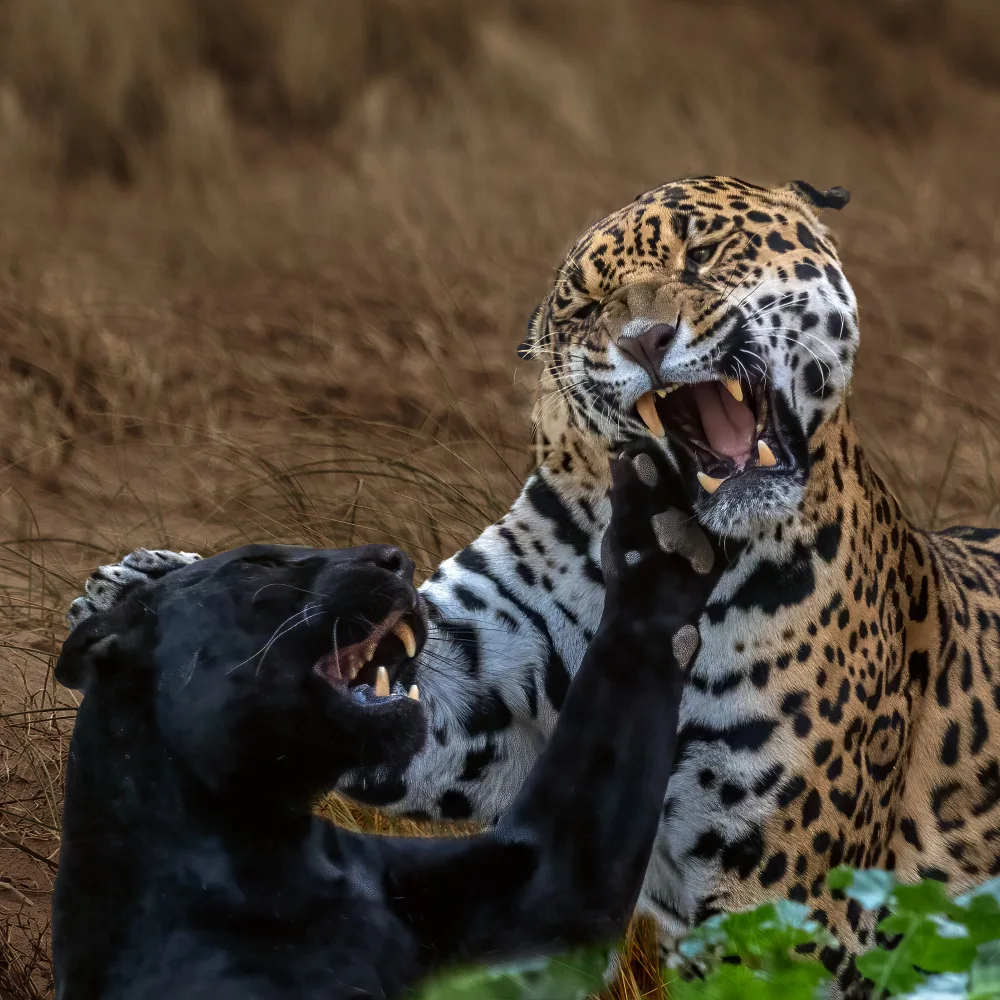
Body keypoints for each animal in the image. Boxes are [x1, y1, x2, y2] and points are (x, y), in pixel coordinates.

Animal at [69, 176, 1000, 995]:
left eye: (703, 253)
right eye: (587, 311)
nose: (645, 340)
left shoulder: (784, 896)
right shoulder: (479, 704)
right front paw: (140, 580)